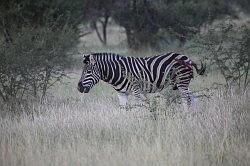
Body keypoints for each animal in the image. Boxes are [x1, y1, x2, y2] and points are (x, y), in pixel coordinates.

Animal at [77, 52, 205, 106]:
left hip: (182, 81)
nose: (79, 88)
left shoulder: (137, 91)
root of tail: (187, 57)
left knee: (187, 99)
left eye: (88, 72)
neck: (118, 72)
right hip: (181, 83)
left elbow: (142, 107)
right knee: (192, 98)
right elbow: (124, 109)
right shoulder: (121, 94)